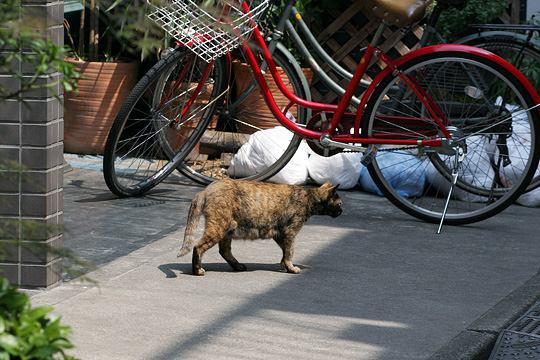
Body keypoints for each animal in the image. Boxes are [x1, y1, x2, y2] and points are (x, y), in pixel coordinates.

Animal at [179, 179, 344, 276]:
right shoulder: (290, 232)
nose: (342, 211)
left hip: (228, 229)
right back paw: (197, 270)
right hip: (219, 227)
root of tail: (206, 189)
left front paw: (284, 265)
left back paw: (238, 266)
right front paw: (291, 268)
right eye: (340, 203)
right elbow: (290, 251)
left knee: (224, 250)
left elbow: (285, 251)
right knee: (198, 247)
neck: (309, 197)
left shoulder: (280, 234)